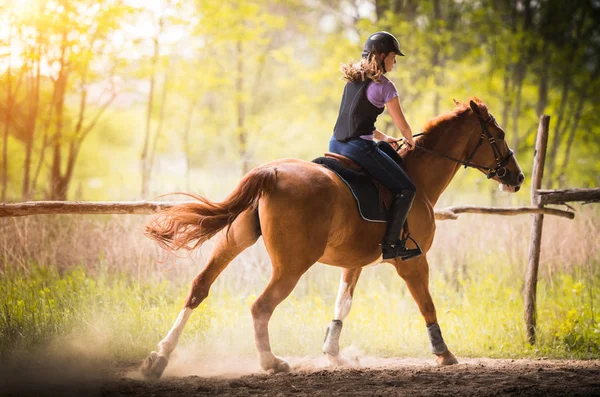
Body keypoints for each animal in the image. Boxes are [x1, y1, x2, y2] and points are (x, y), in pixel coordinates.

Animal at [141, 98, 524, 378]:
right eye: (499, 133)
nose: (517, 177)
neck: (418, 178)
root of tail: (272, 171)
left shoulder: (354, 262)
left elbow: (343, 304)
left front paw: (333, 353)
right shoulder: (412, 261)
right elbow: (426, 304)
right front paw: (444, 354)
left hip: (234, 242)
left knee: (199, 288)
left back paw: (158, 358)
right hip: (292, 265)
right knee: (261, 306)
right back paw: (271, 363)